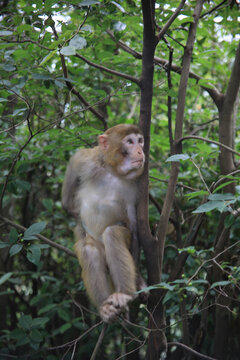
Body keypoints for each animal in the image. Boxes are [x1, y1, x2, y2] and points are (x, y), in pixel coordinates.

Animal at [62, 124, 146, 324]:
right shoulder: (84, 161)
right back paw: (104, 307)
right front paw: (79, 223)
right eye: (129, 141)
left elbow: (133, 227)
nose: (141, 150)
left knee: (113, 233)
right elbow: (67, 202)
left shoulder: (135, 189)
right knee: (89, 249)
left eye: (140, 141)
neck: (112, 172)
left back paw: (124, 294)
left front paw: (139, 281)